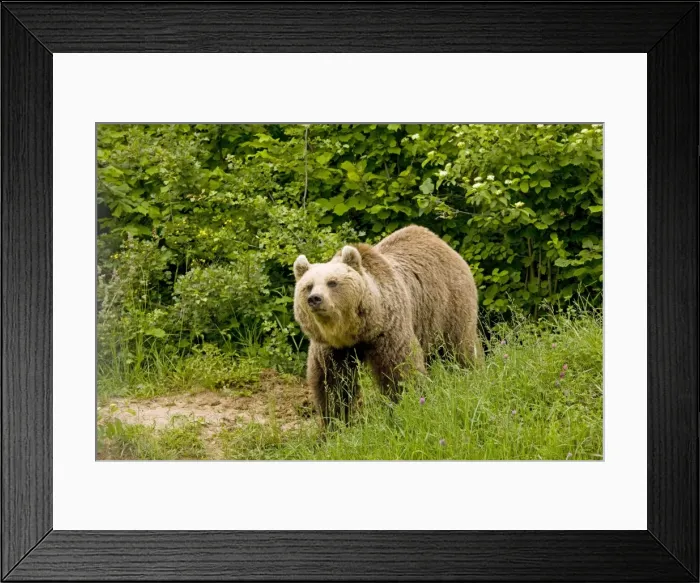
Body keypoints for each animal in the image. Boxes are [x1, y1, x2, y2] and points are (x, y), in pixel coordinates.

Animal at [293, 224, 481, 426]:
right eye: (308, 286)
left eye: (332, 282)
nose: (315, 299)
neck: (355, 331)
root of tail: (441, 242)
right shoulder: (332, 348)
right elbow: (332, 382)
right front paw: (336, 421)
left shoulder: (388, 329)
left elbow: (400, 370)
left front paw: (406, 407)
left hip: (450, 303)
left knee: (460, 347)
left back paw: (471, 374)